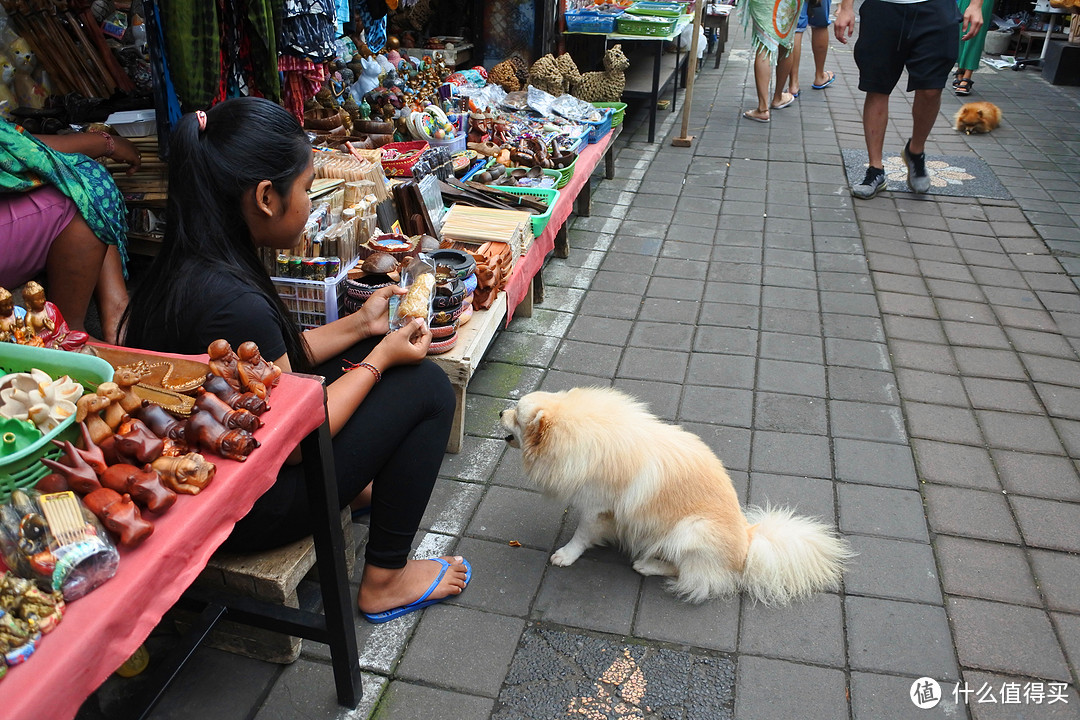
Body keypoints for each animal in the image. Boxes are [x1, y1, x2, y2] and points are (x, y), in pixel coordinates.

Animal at [501, 386, 855, 604]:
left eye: (516, 414)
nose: (499, 412)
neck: (583, 433)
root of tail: (749, 543)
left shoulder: (596, 507)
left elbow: (581, 535)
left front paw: (566, 555)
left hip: (690, 529)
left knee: (691, 575)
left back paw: (647, 565)